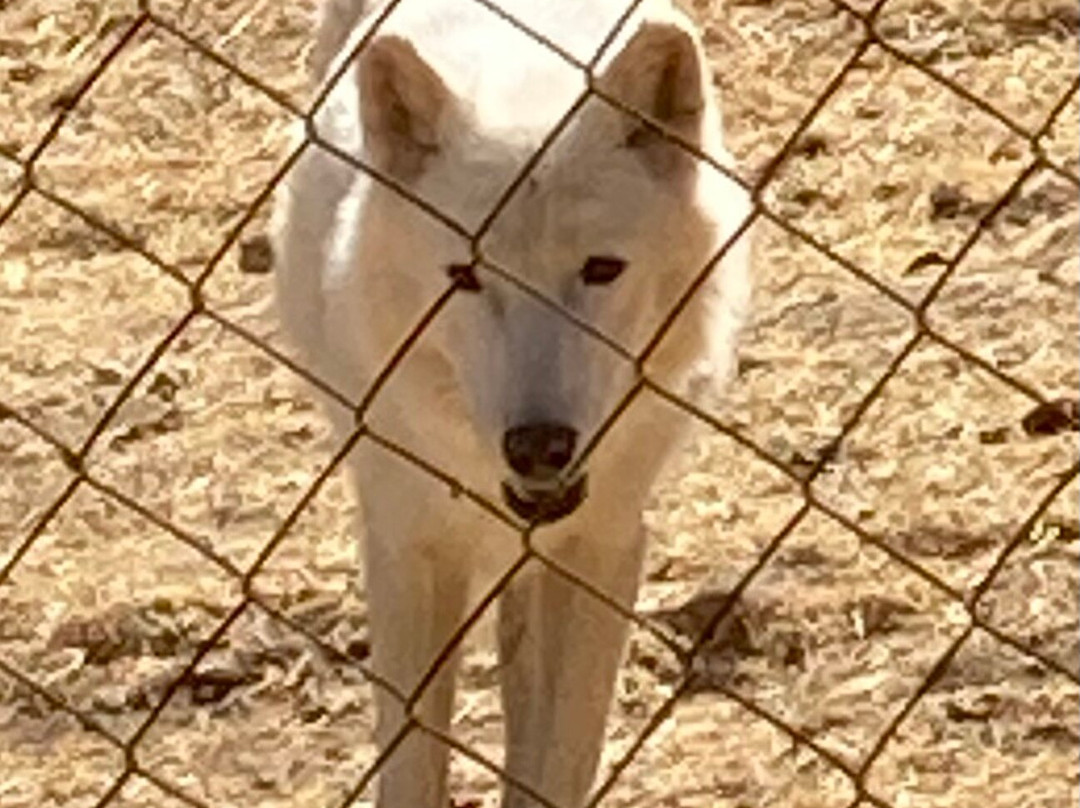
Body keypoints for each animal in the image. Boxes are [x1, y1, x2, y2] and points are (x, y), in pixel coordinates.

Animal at [270, 0, 751, 805]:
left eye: (601, 270)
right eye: (464, 277)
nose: (538, 445)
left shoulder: (603, 545)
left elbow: (560, 760)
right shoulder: (406, 540)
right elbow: (410, 767)